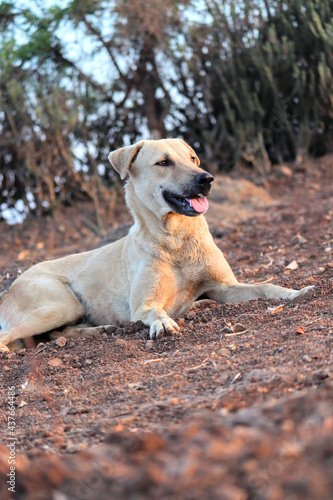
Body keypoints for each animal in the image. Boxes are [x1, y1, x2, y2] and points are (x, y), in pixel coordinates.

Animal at [0, 138, 312, 352]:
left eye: (193, 158)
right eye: (163, 163)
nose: (207, 179)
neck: (176, 240)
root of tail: (11, 286)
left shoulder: (224, 287)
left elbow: (266, 286)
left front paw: (295, 292)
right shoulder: (142, 306)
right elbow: (154, 311)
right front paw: (162, 322)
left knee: (55, 333)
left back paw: (103, 330)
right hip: (59, 306)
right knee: (15, 335)